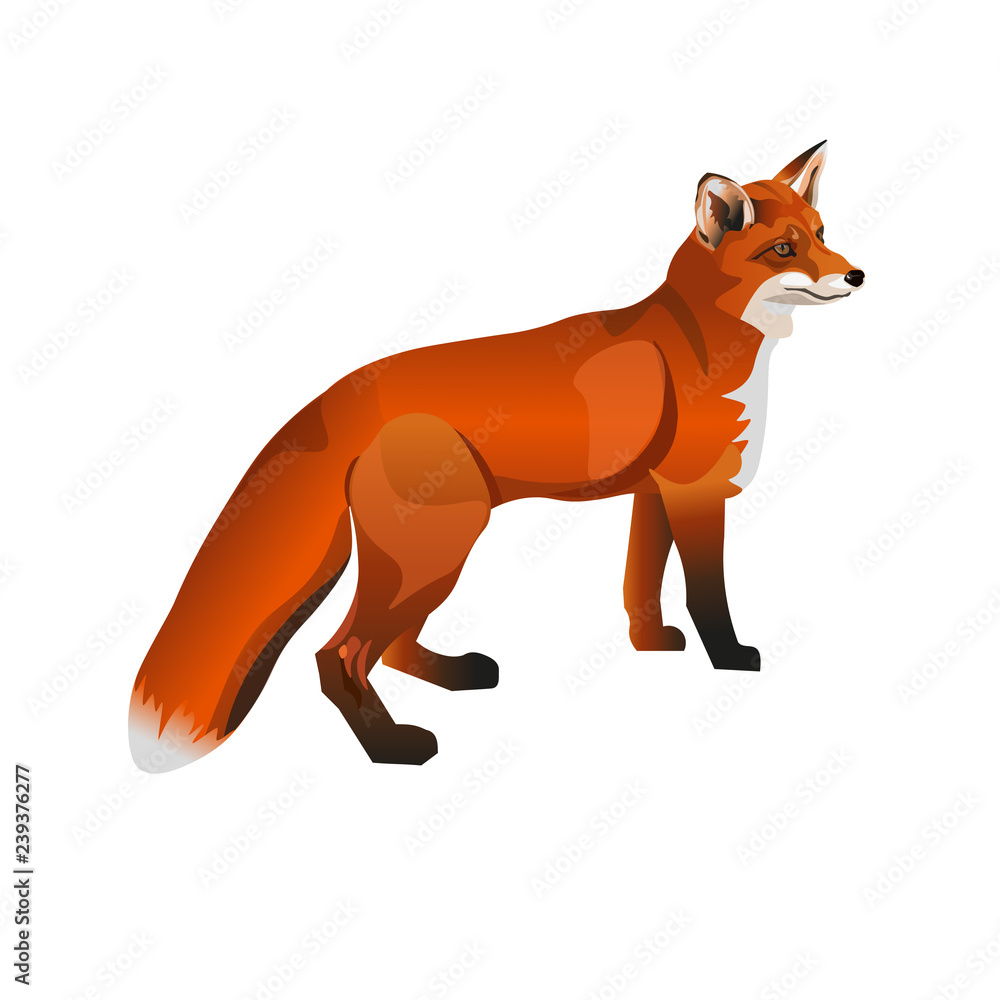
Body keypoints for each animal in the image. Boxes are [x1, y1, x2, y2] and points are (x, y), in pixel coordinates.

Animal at [129, 140, 864, 771]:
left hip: (428, 553)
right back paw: (392, 748)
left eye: (823, 233)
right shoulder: (696, 490)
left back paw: (452, 677)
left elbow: (641, 583)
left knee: (388, 646)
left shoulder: (654, 491)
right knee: (339, 655)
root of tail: (342, 390)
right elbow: (707, 593)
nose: (858, 274)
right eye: (783, 249)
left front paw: (651, 644)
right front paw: (730, 657)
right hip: (438, 547)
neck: (703, 337)